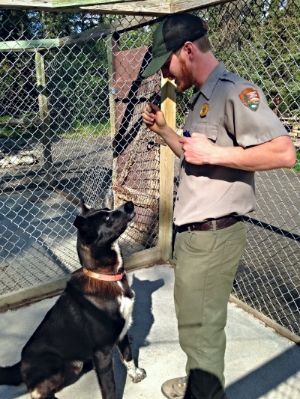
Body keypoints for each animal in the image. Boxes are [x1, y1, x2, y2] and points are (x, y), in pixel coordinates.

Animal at [0, 202, 146, 398]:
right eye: (107, 218)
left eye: (108, 209)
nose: (129, 204)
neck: (107, 277)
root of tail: (20, 365)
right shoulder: (102, 352)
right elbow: (109, 386)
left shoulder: (122, 333)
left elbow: (128, 356)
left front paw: (135, 374)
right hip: (52, 364)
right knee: (37, 392)